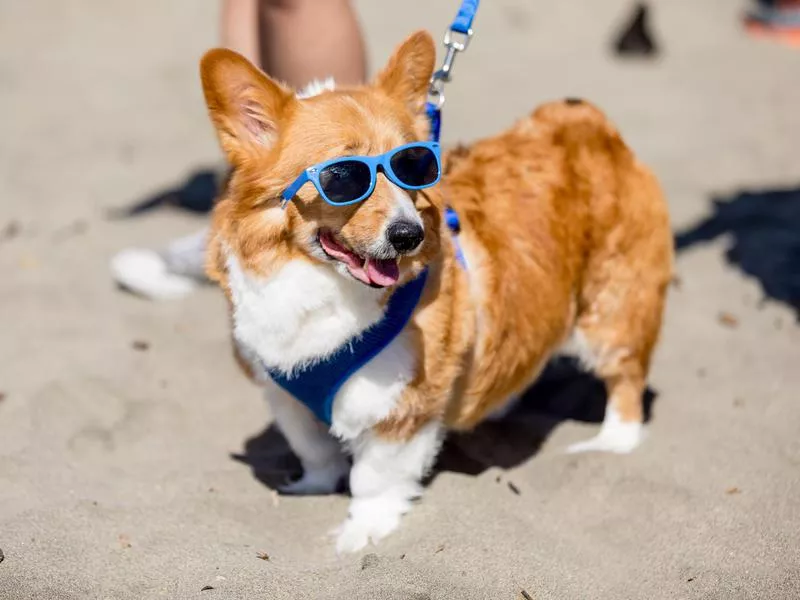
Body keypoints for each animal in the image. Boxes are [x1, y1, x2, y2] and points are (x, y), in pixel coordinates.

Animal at [197, 30, 672, 552]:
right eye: (341, 177)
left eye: (413, 165)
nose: (409, 236)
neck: (319, 282)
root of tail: (588, 121)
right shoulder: (282, 395)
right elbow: (314, 448)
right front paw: (313, 487)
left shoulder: (402, 408)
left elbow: (373, 478)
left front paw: (359, 534)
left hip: (610, 314)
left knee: (626, 382)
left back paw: (610, 444)